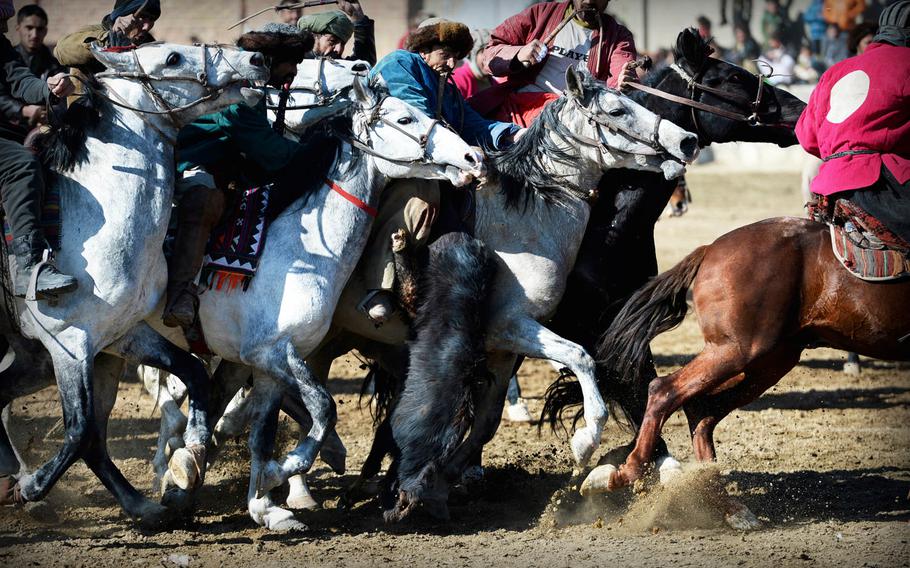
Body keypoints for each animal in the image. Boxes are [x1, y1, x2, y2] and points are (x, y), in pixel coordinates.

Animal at [3, 43, 268, 528]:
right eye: (173, 58)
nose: (256, 60)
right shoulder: (70, 344)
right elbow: (80, 430)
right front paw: (32, 486)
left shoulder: (121, 335)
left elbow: (195, 375)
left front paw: (189, 458)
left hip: (29, 358)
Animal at [580, 215, 910, 494]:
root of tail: (709, 249)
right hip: (738, 350)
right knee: (665, 390)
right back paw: (623, 474)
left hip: (769, 360)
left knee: (700, 409)